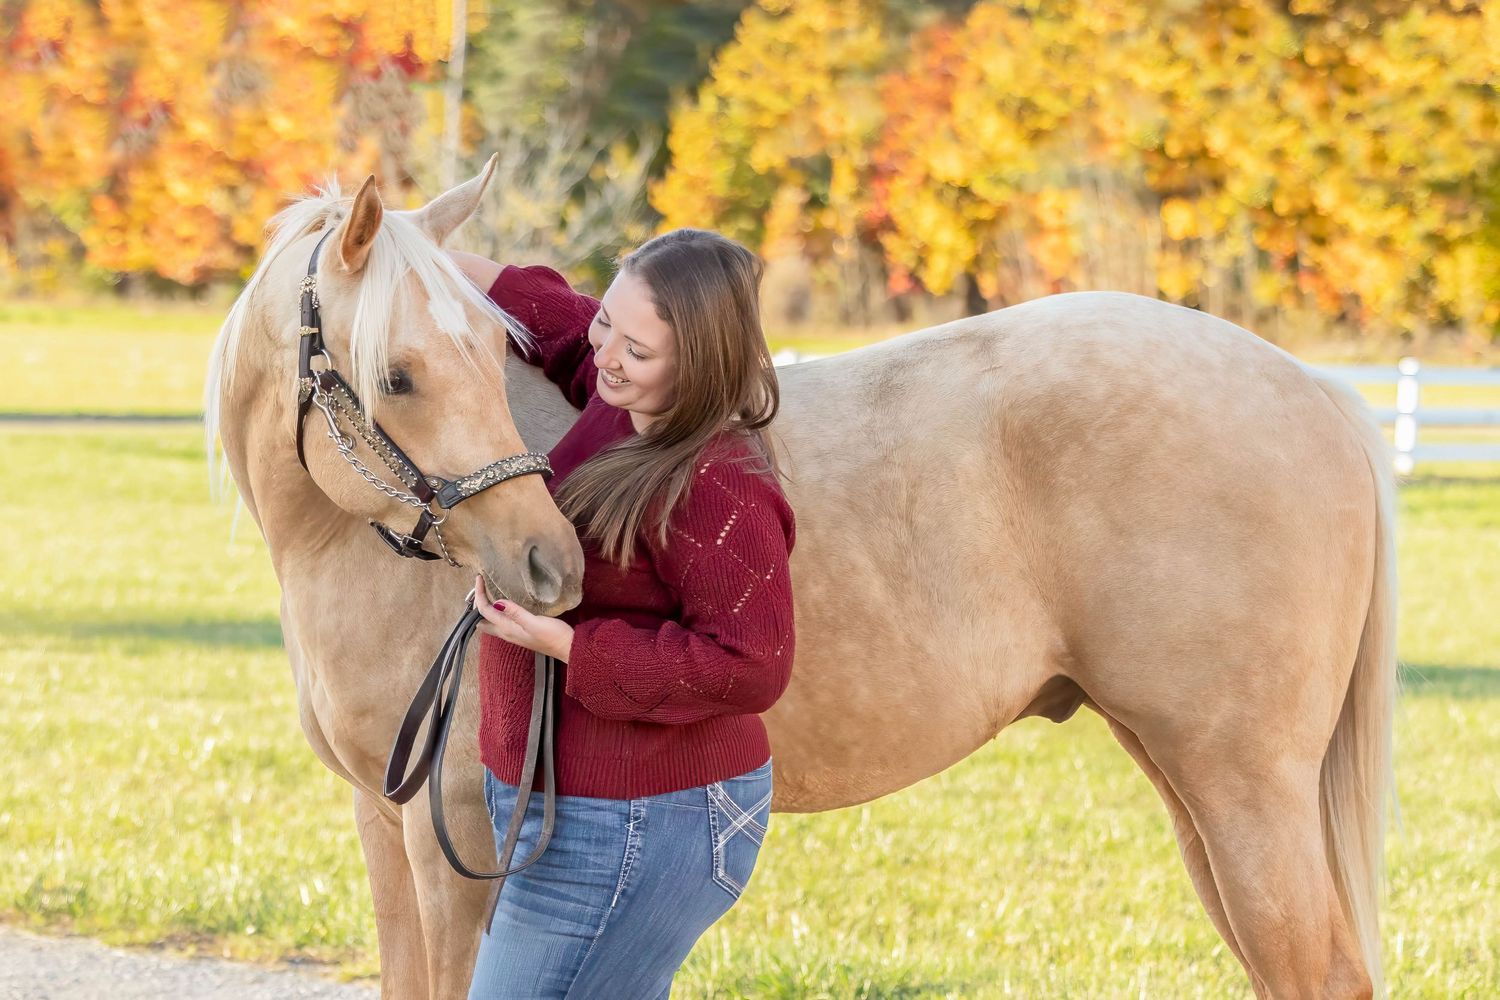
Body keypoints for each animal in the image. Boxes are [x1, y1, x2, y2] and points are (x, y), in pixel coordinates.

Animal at [206, 159, 1395, 1000]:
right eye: (401, 375)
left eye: (486, 354)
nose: (543, 563)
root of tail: (1317, 391)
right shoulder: (383, 820)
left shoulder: (456, 836)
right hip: (1195, 785)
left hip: (1243, 786)